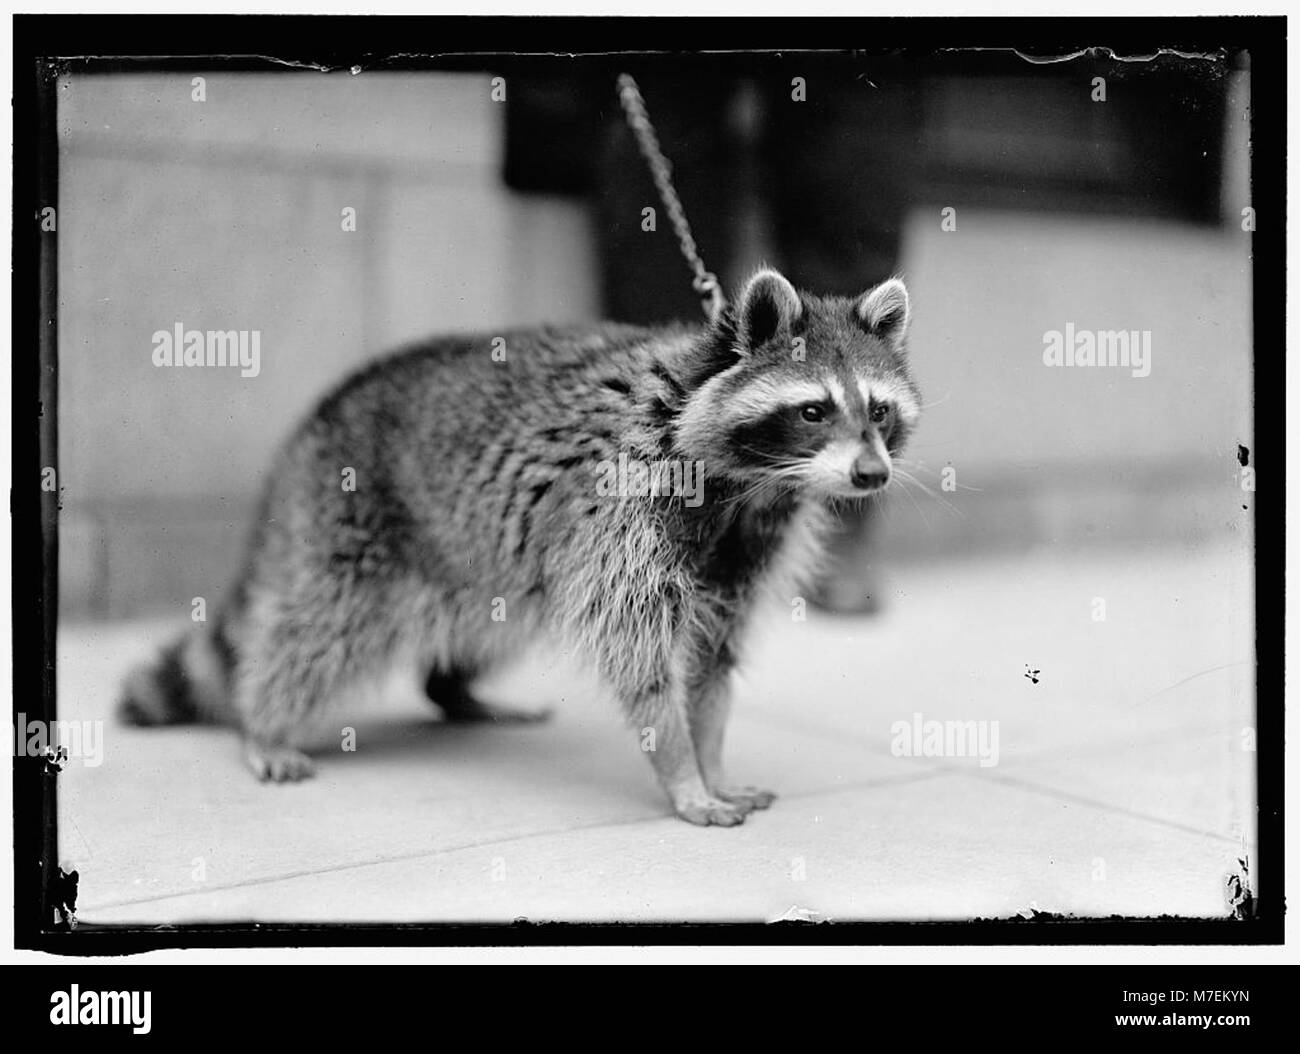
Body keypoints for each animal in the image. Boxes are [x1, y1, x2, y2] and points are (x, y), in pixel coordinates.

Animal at [118, 268, 918, 826]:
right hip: (347, 522)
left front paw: (711, 755)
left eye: (878, 411)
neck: (751, 482)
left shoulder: (746, 547)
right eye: (813, 411)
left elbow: (714, 660)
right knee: (319, 628)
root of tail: (315, 422)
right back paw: (265, 721)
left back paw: (454, 690)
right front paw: (682, 769)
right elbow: (643, 661)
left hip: (489, 567)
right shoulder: (626, 508)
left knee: (491, 622)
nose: (871, 474)